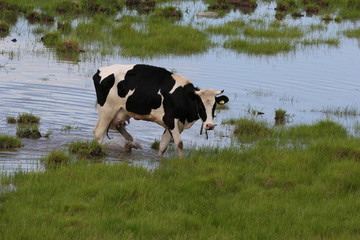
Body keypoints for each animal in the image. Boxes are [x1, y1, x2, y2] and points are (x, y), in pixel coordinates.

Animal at [93, 63, 228, 158]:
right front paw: (182, 161)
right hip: (107, 109)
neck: (183, 96)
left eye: (214, 106)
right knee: (99, 132)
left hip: (121, 111)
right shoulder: (171, 120)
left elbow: (163, 145)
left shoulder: (174, 124)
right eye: (200, 105)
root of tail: (100, 70)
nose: (210, 125)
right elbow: (179, 143)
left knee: (120, 128)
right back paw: (99, 152)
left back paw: (131, 144)